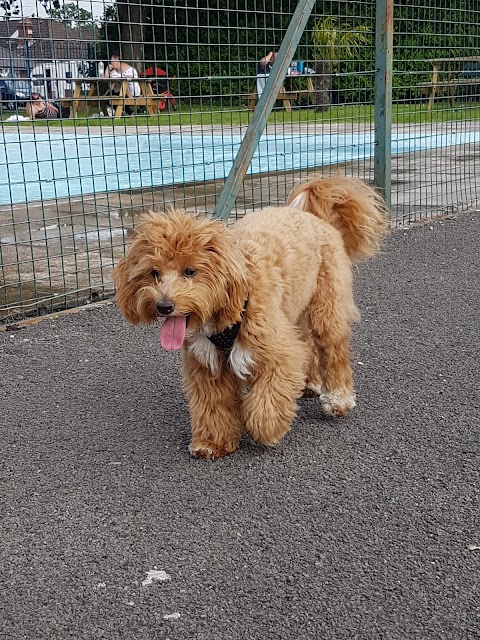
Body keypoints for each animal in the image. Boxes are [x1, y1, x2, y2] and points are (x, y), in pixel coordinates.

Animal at [113, 172, 390, 458]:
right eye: (154, 273)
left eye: (190, 272)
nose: (164, 306)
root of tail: (309, 215)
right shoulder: (206, 364)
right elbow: (212, 407)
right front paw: (212, 442)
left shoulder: (277, 352)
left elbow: (268, 402)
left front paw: (265, 427)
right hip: (295, 309)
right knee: (308, 345)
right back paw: (309, 383)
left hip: (326, 307)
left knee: (333, 350)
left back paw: (338, 399)